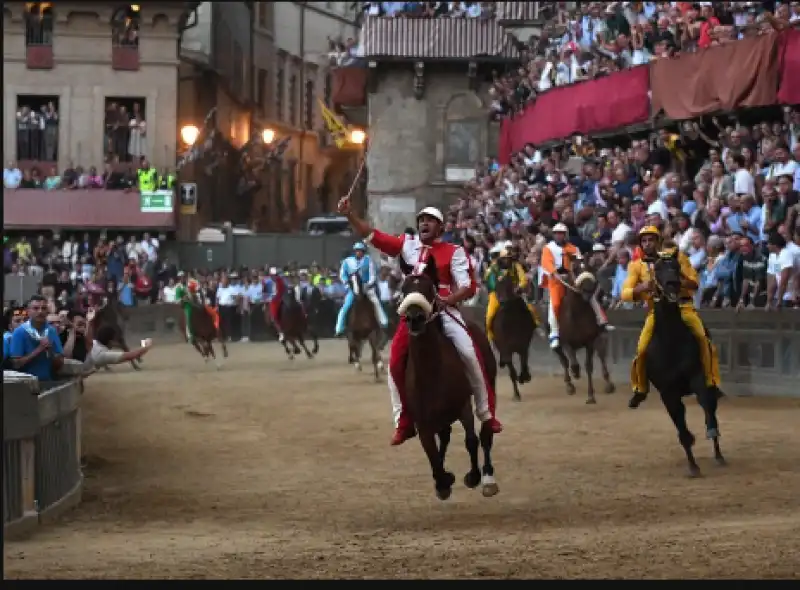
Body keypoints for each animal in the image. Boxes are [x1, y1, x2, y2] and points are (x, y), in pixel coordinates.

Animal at [396, 256, 496, 502]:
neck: (431, 371)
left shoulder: (463, 407)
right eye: (404, 289)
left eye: (429, 288)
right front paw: (442, 481)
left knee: (485, 432)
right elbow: (431, 451)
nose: (414, 318)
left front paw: (473, 476)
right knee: (445, 436)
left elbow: (471, 439)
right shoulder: (422, 421)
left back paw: (488, 477)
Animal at [490, 268, 536, 402]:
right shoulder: (506, 349)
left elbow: (524, 364)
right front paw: (516, 394)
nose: (502, 301)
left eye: (509, 285)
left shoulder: (523, 345)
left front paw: (525, 377)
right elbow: (512, 371)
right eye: (497, 287)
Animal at [552, 256, 616, 404]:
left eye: (589, 267)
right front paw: (575, 373)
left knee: (601, 355)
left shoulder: (590, 341)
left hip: (599, 338)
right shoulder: (566, 341)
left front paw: (591, 395)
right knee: (564, 360)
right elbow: (571, 361)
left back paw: (609, 384)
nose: (588, 289)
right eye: (575, 268)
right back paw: (569, 385)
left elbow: (589, 366)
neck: (577, 314)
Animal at [648, 256, 724, 478]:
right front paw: (693, 465)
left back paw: (718, 455)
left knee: (711, 407)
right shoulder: (667, 392)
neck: (671, 342)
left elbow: (706, 404)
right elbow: (681, 426)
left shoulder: (698, 376)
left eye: (676, 266)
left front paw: (711, 433)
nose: (672, 283)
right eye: (657, 268)